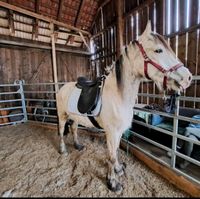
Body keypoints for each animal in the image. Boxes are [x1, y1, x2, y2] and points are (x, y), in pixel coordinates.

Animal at [55, 21, 192, 193]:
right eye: (158, 50)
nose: (188, 77)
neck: (118, 96)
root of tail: (62, 87)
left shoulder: (119, 132)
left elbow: (116, 153)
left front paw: (118, 170)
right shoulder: (111, 132)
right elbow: (111, 156)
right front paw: (113, 183)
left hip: (75, 117)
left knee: (73, 129)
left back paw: (78, 146)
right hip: (62, 116)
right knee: (61, 132)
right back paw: (63, 150)